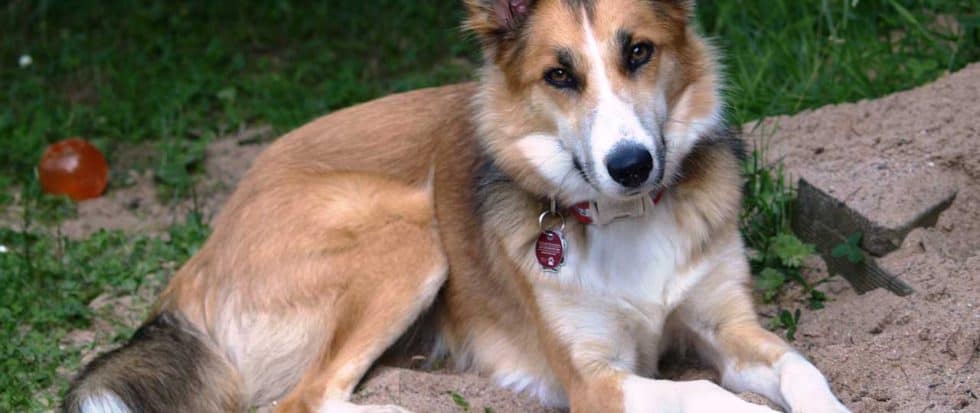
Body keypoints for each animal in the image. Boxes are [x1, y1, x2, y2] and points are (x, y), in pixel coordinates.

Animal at [67, 0, 848, 412]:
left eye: (639, 52)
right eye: (559, 75)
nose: (632, 166)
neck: (627, 220)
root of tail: (191, 269)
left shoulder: (728, 324)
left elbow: (801, 370)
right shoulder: (595, 379)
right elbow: (710, 399)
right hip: (411, 234)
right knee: (301, 400)